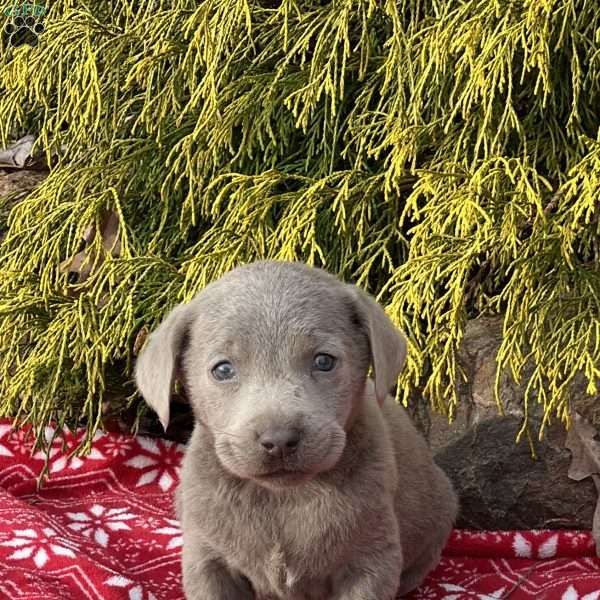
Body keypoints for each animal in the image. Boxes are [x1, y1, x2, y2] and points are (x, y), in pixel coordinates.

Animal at [134, 262, 458, 600]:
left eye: (324, 361)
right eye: (222, 370)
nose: (278, 440)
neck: (282, 499)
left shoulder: (370, 561)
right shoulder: (207, 560)